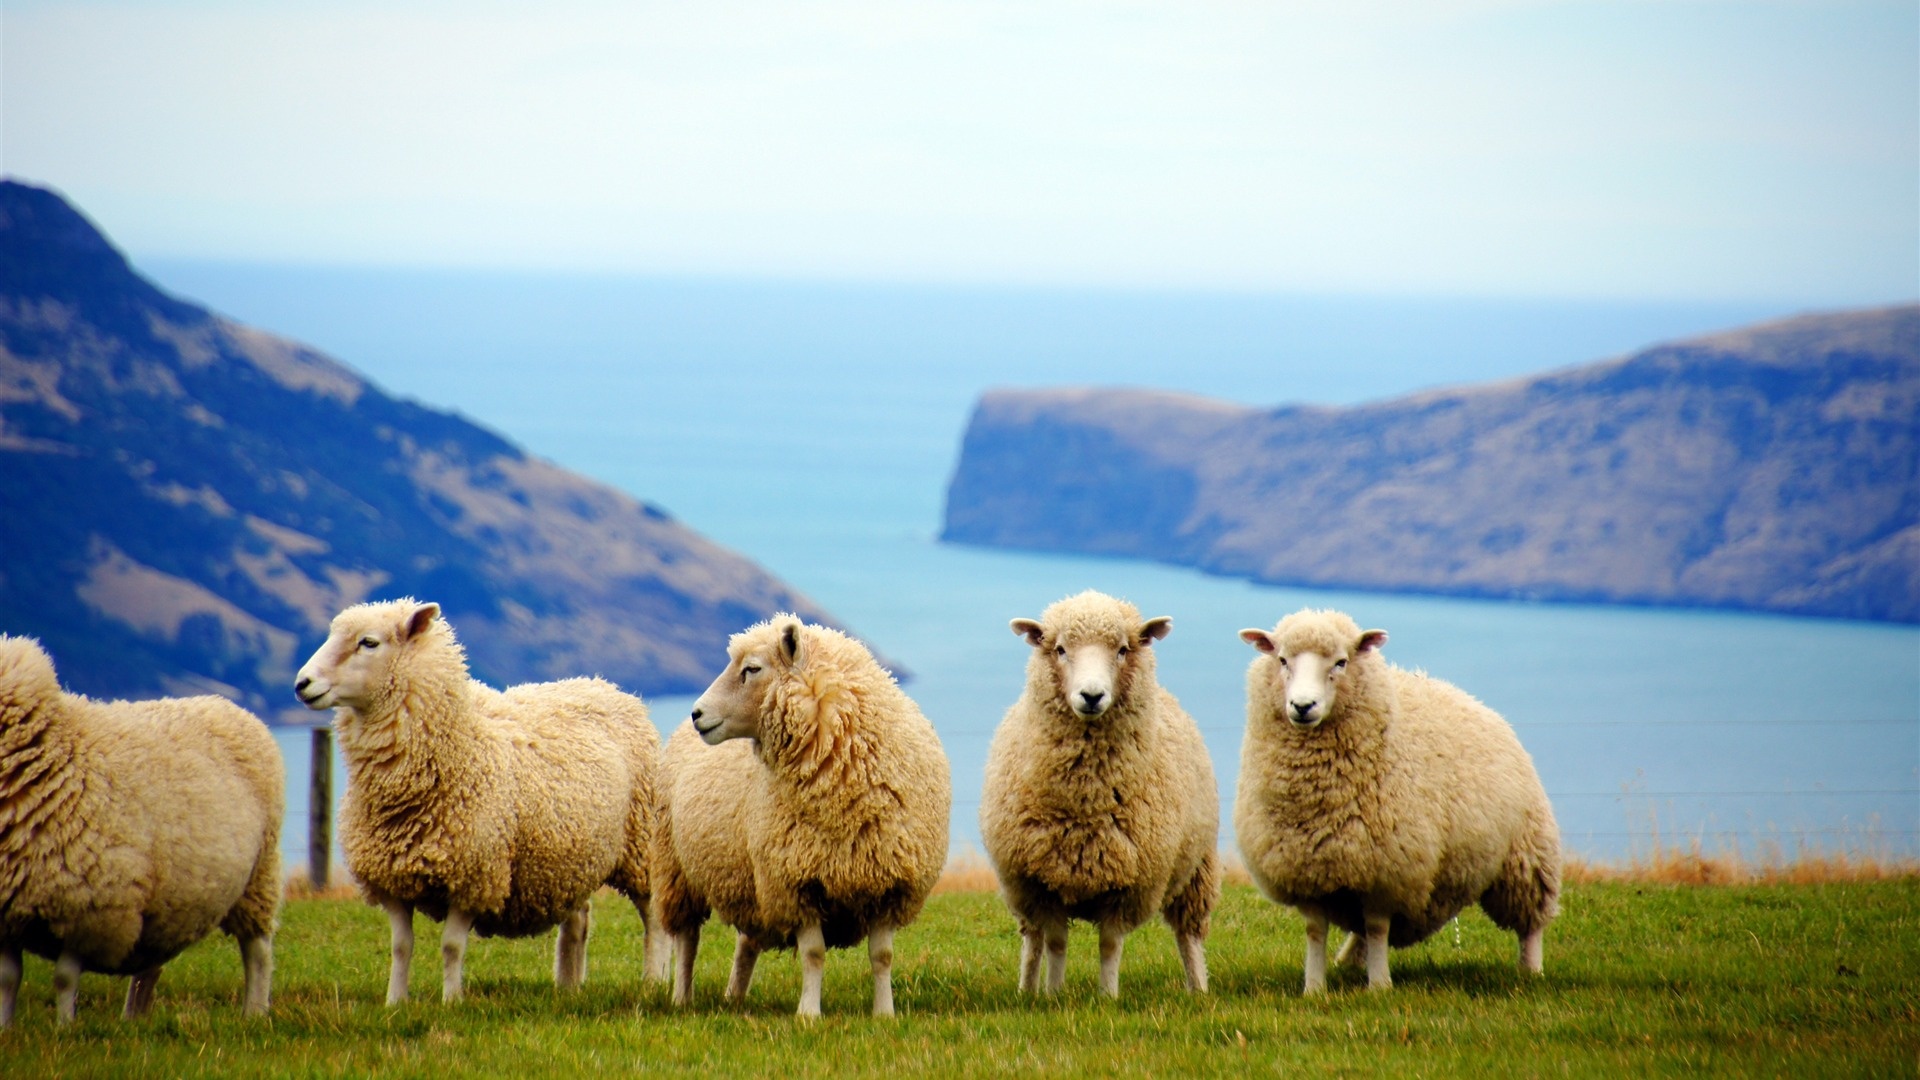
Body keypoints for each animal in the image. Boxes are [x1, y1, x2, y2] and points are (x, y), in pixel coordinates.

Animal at [0, 634, 282, 1022]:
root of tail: (225, 704)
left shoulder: (89, 907)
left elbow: (64, 978)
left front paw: (65, 1027)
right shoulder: (8, 915)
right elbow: (9, 979)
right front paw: (6, 1026)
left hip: (258, 877)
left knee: (257, 951)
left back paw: (254, 1011)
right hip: (168, 901)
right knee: (151, 965)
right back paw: (135, 1019)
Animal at [291, 595, 668, 999]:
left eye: (369, 642)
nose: (301, 684)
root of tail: (605, 686)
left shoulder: (473, 875)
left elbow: (451, 946)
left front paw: (452, 1000)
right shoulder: (390, 880)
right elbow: (401, 946)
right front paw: (395, 1001)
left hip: (641, 845)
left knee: (653, 918)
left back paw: (654, 980)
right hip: (571, 856)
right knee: (578, 919)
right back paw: (567, 985)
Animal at [652, 611, 952, 1014]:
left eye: (752, 668)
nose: (697, 712)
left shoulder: (888, 883)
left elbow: (883, 956)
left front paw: (884, 1013)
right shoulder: (798, 881)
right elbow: (813, 954)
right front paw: (809, 1013)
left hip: (751, 880)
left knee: (746, 942)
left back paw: (735, 997)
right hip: (679, 871)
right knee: (687, 939)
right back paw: (683, 998)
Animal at [983, 591, 1221, 999]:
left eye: (1123, 649)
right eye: (1060, 649)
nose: (1091, 696)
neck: (1086, 799)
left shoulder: (1128, 885)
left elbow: (1110, 945)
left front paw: (1107, 996)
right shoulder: (1042, 883)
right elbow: (1055, 943)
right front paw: (1053, 994)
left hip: (1197, 868)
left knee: (1188, 934)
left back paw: (1198, 989)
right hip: (1020, 892)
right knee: (1032, 940)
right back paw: (1027, 989)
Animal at [1228, 599, 1559, 991]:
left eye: (1341, 662)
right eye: (1281, 659)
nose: (1303, 706)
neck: (1317, 796)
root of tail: (1475, 701)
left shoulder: (1388, 869)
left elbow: (1376, 927)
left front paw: (1379, 987)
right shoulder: (1308, 869)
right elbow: (1315, 930)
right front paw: (1315, 988)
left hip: (1525, 854)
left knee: (1531, 922)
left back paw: (1532, 970)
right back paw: (1350, 961)